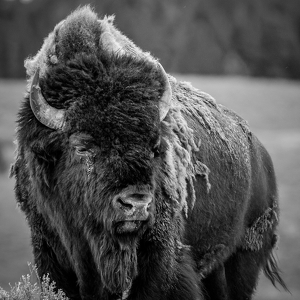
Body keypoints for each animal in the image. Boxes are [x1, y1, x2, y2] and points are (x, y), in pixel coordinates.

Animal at [11, 5, 288, 300]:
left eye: (155, 147)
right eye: (82, 146)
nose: (136, 203)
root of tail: (260, 154)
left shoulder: (163, 259)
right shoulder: (49, 250)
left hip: (244, 256)